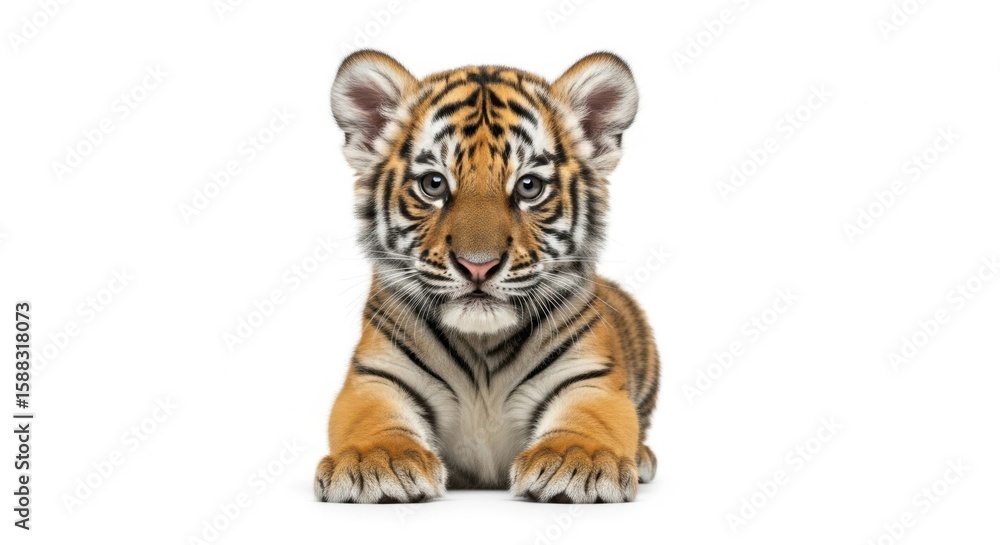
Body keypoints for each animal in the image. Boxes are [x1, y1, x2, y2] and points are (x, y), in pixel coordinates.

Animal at [314, 50, 659, 504]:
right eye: (433, 184)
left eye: (529, 187)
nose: (478, 264)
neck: (482, 349)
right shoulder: (375, 377)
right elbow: (370, 420)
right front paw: (376, 461)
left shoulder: (590, 378)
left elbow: (591, 420)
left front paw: (576, 461)